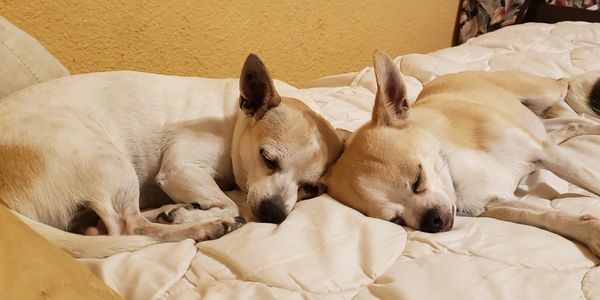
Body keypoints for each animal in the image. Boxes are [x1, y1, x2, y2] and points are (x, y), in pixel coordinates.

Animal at [0, 54, 344, 258]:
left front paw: (187, 210)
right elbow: (232, 203)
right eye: (267, 158)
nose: (273, 213)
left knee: (109, 226)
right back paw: (202, 225)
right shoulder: (181, 169)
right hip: (110, 162)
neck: (233, 117)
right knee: (128, 226)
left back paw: (171, 211)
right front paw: (203, 215)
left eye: (311, 189)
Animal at [326, 51, 600, 255]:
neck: (454, 171)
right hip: (542, 126)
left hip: (543, 95)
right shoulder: (497, 204)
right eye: (396, 220)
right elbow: (546, 216)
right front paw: (590, 232)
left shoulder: (545, 153)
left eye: (418, 180)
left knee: (570, 95)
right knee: (571, 123)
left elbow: (592, 182)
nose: (431, 221)